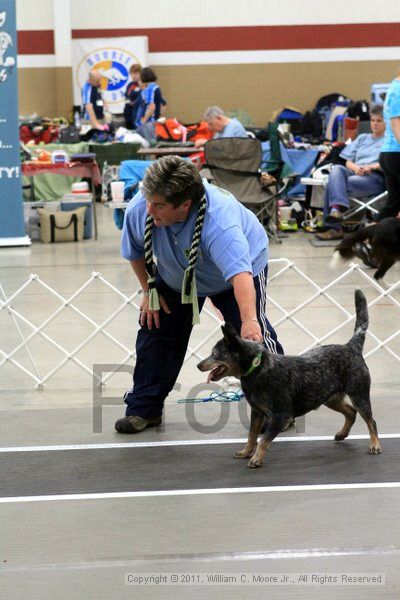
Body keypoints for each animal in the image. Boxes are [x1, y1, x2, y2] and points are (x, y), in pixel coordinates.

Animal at [197, 290, 382, 468]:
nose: (198, 365)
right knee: (351, 412)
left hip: (359, 395)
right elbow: (252, 435)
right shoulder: (257, 412)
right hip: (329, 398)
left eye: (215, 354)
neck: (258, 369)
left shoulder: (280, 415)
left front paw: (256, 458)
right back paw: (342, 434)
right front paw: (246, 452)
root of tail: (351, 346)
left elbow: (263, 440)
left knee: (370, 420)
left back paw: (374, 445)